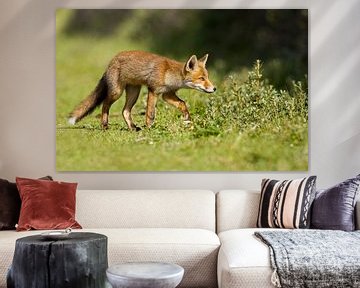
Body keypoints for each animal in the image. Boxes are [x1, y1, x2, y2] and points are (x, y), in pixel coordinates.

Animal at [68, 50, 215, 130]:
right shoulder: (153, 90)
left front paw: (187, 119)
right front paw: (150, 129)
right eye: (201, 78)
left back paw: (132, 128)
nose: (214, 88)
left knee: (125, 111)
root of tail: (112, 61)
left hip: (134, 93)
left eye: (207, 77)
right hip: (117, 92)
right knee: (105, 104)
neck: (169, 74)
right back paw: (104, 125)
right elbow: (150, 114)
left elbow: (183, 104)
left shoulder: (167, 94)